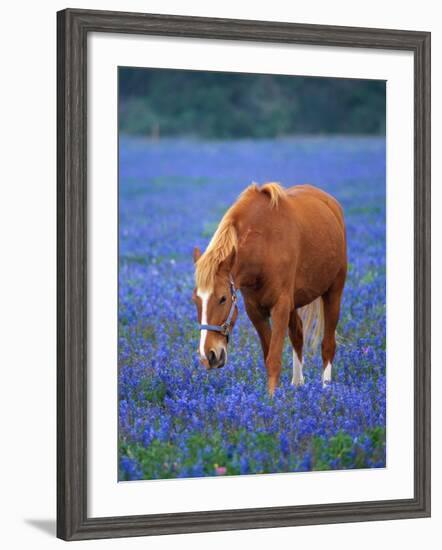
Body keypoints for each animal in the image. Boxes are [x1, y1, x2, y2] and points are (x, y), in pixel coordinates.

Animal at [192, 182, 348, 396]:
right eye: (195, 300)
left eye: (223, 298)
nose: (208, 356)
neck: (263, 246)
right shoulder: (255, 310)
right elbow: (268, 356)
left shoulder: (280, 307)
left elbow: (274, 359)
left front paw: (272, 399)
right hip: (295, 303)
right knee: (298, 335)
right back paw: (298, 384)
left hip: (333, 292)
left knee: (328, 345)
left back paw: (326, 390)